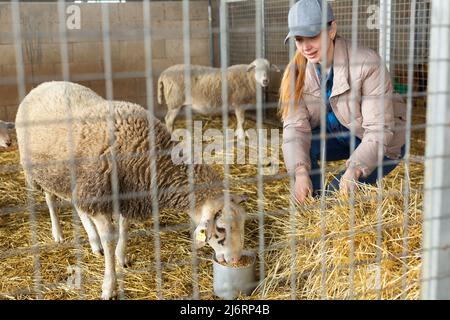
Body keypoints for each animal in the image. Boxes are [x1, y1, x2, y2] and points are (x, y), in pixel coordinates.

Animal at [15, 80, 250, 300]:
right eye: (221, 230)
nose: (236, 259)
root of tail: (44, 85)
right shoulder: (100, 194)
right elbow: (110, 238)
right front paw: (109, 286)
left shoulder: (129, 194)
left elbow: (125, 227)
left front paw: (121, 257)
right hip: (42, 173)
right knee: (50, 199)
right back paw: (59, 234)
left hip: (76, 182)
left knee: (78, 206)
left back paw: (93, 241)